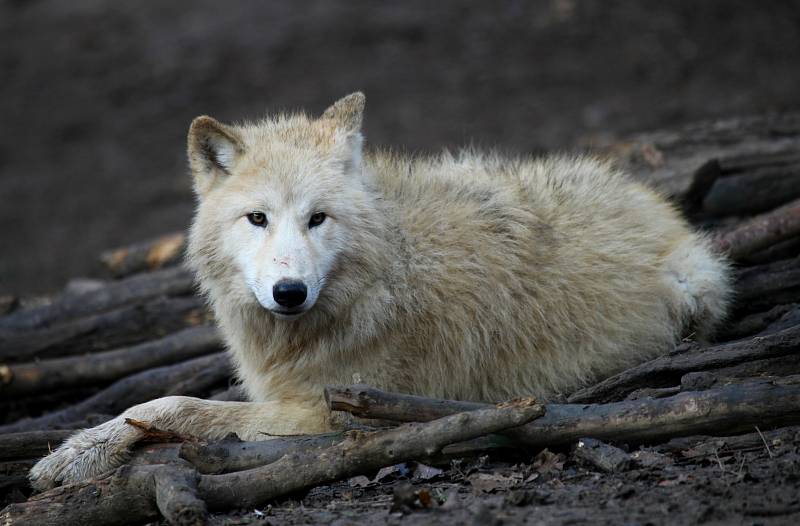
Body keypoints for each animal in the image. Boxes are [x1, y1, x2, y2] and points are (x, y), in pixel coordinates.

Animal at [29, 94, 732, 490]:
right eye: (257, 218)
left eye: (318, 218)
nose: (289, 291)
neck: (379, 280)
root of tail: (660, 206)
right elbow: (164, 405)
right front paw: (80, 450)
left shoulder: (328, 416)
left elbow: (175, 406)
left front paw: (74, 456)